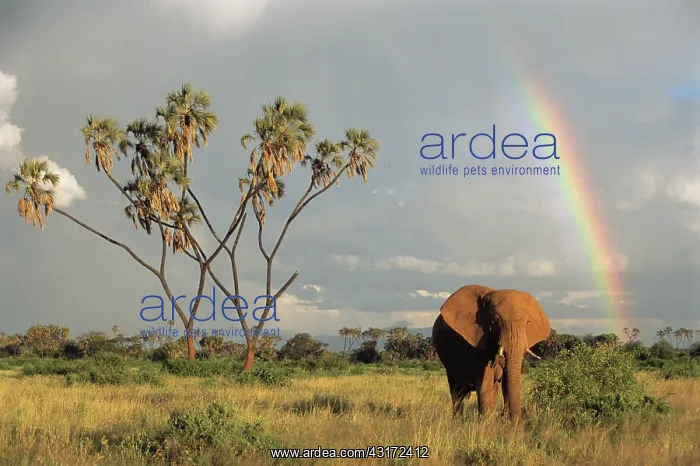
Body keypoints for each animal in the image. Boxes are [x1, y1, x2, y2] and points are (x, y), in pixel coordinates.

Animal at [432, 285, 551, 421]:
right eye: (495, 321)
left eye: (528, 323)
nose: (516, 423)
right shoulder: (477, 342)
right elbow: (485, 385)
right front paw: (487, 424)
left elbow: (504, 383)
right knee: (457, 392)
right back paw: (457, 421)